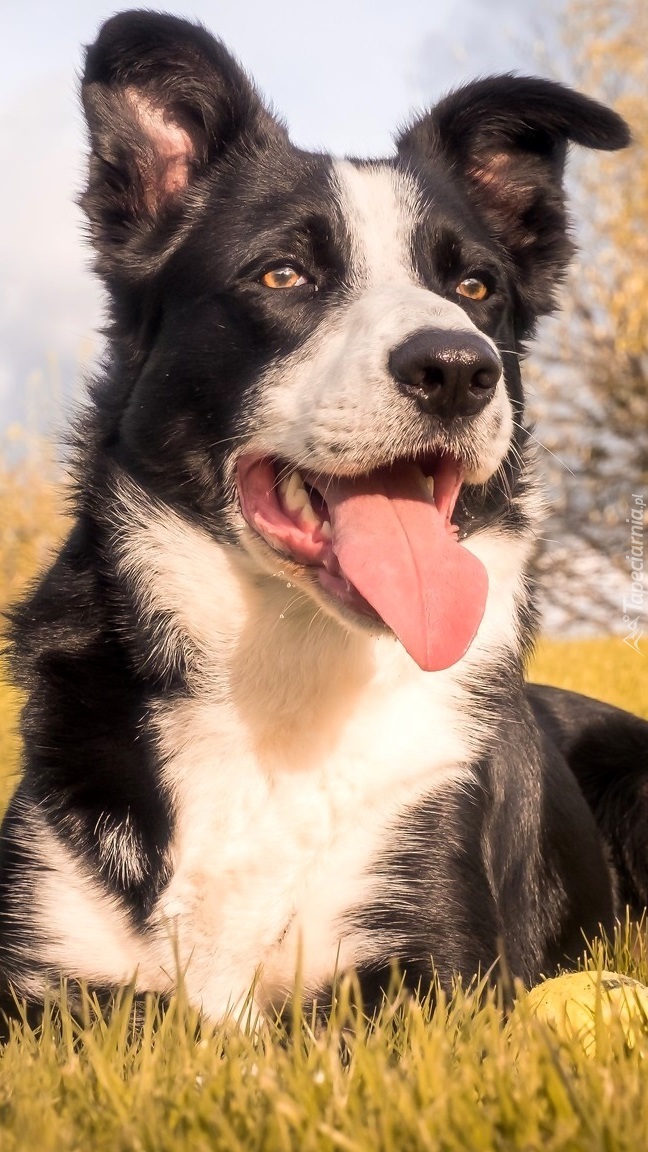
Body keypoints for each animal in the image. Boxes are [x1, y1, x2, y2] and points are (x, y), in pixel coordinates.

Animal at [1, 11, 645, 1027]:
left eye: (476, 289)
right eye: (284, 274)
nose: (458, 369)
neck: (286, 668)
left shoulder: (432, 973)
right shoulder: (43, 978)